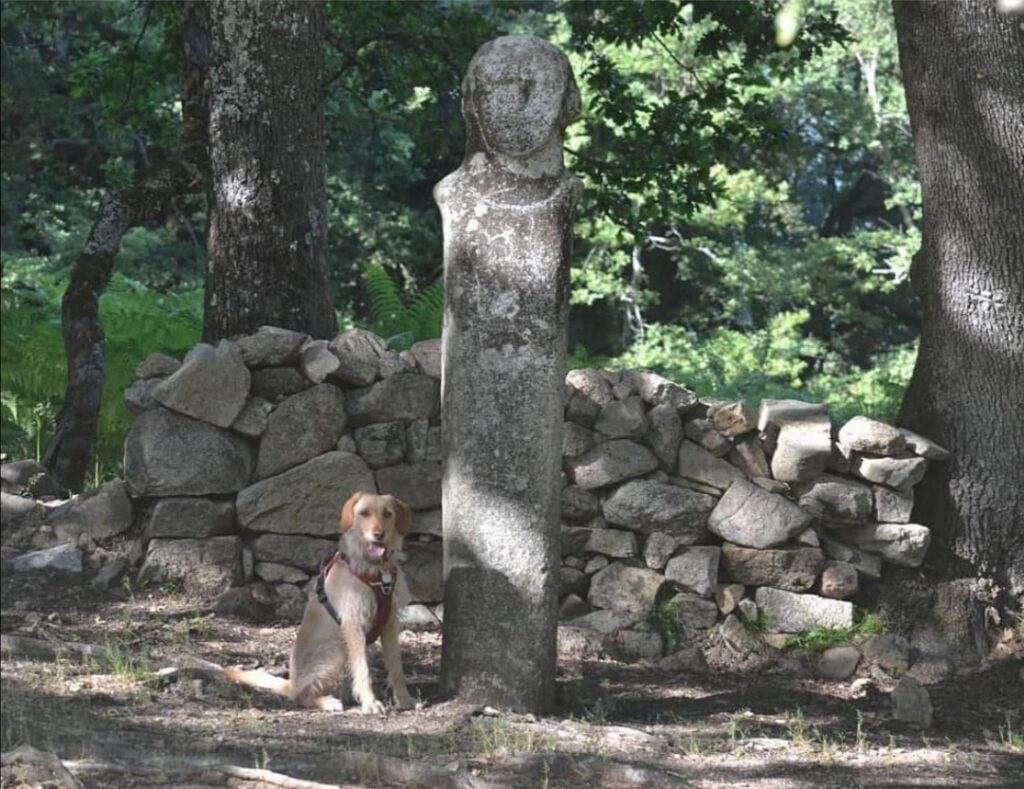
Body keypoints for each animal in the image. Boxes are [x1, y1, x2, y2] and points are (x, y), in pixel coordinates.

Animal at [225, 491, 415, 712]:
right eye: (364, 513)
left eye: (387, 514)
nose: (379, 534)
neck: (376, 570)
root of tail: (292, 682)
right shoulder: (353, 623)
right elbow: (363, 670)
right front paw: (370, 702)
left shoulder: (389, 623)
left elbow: (396, 666)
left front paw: (404, 699)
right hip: (335, 652)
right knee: (301, 697)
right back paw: (327, 701)